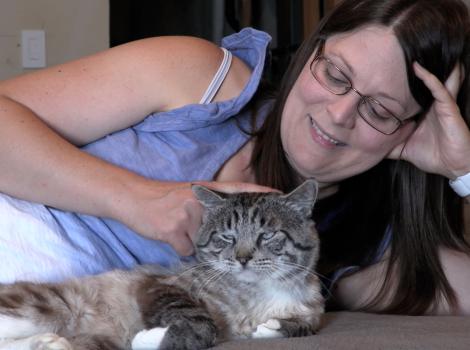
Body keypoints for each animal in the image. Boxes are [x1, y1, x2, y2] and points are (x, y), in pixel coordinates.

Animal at [0, 180, 324, 350]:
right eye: (226, 236)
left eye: (267, 235)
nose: (243, 258)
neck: (255, 294)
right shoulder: (162, 284)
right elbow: (201, 324)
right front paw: (156, 338)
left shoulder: (310, 310)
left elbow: (303, 326)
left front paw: (272, 328)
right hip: (44, 307)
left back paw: (49, 343)